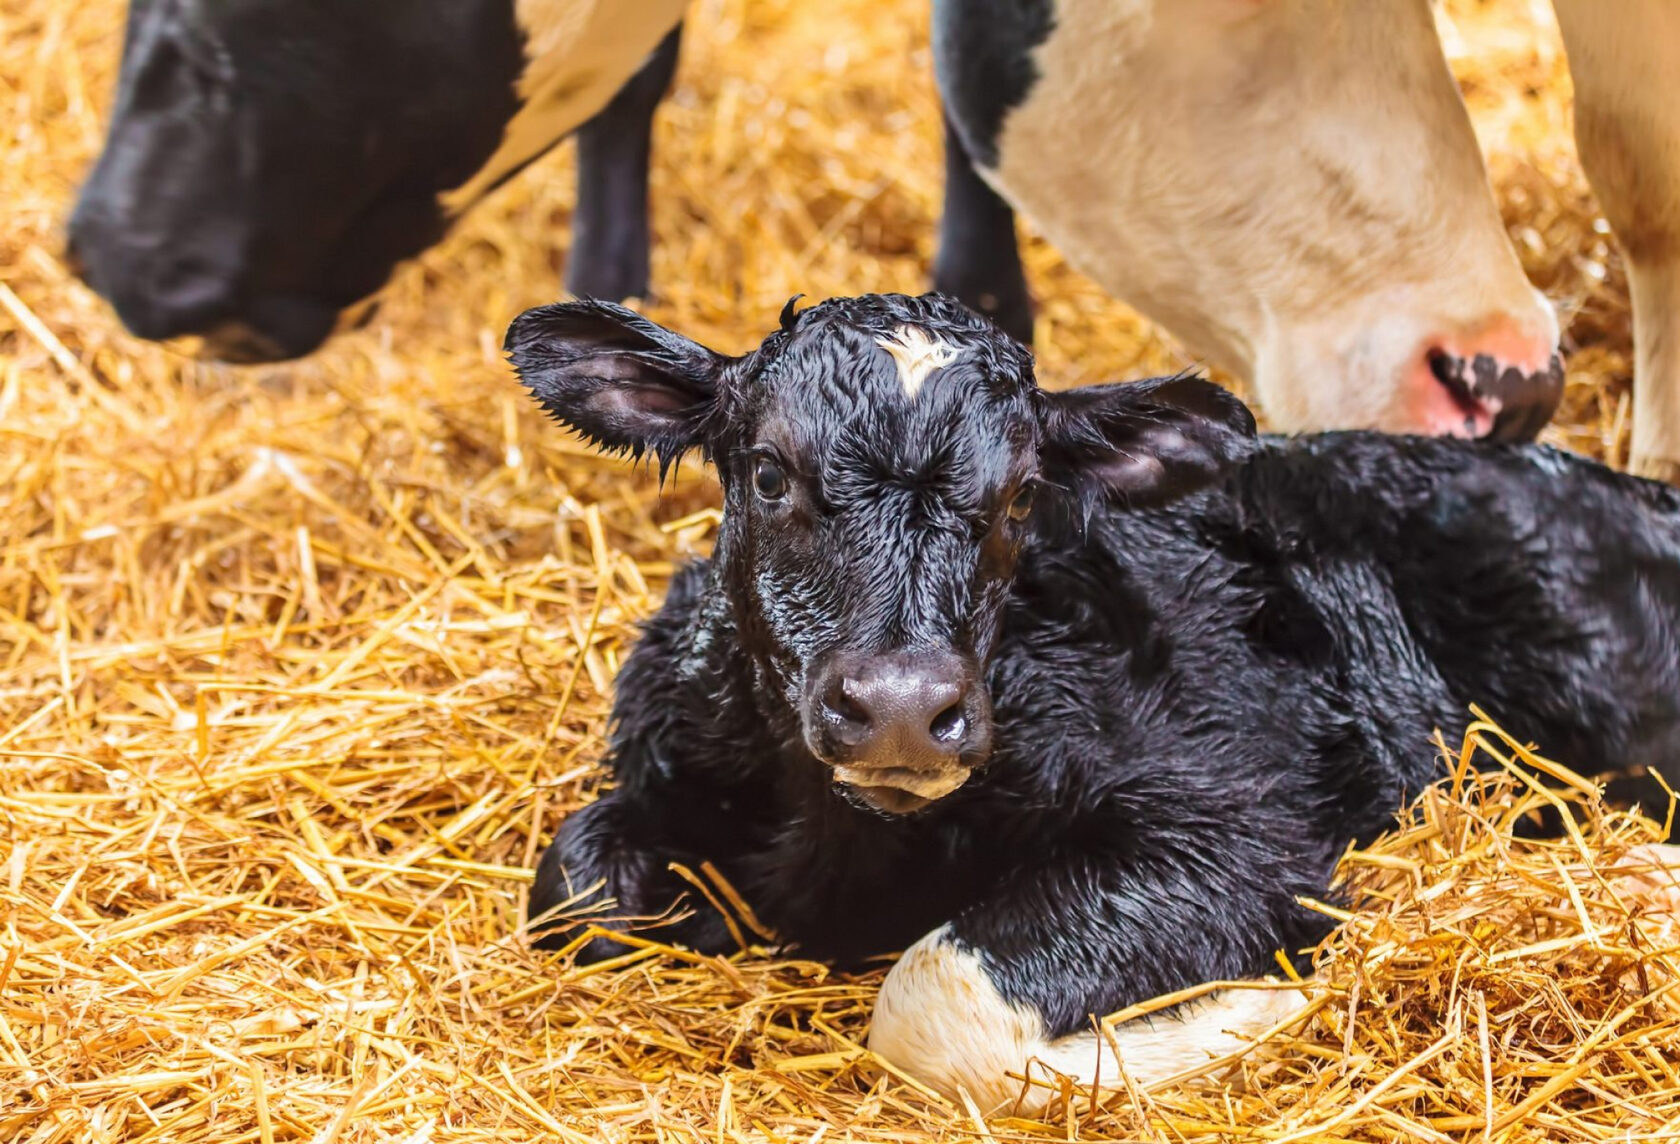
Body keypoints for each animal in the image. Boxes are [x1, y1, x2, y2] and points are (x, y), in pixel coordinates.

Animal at [503, 292, 1680, 1108]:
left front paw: (1261, 1008)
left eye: (1023, 495)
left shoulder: (1240, 832)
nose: (900, 704)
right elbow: (575, 889)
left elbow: (935, 1003)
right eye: (767, 472)